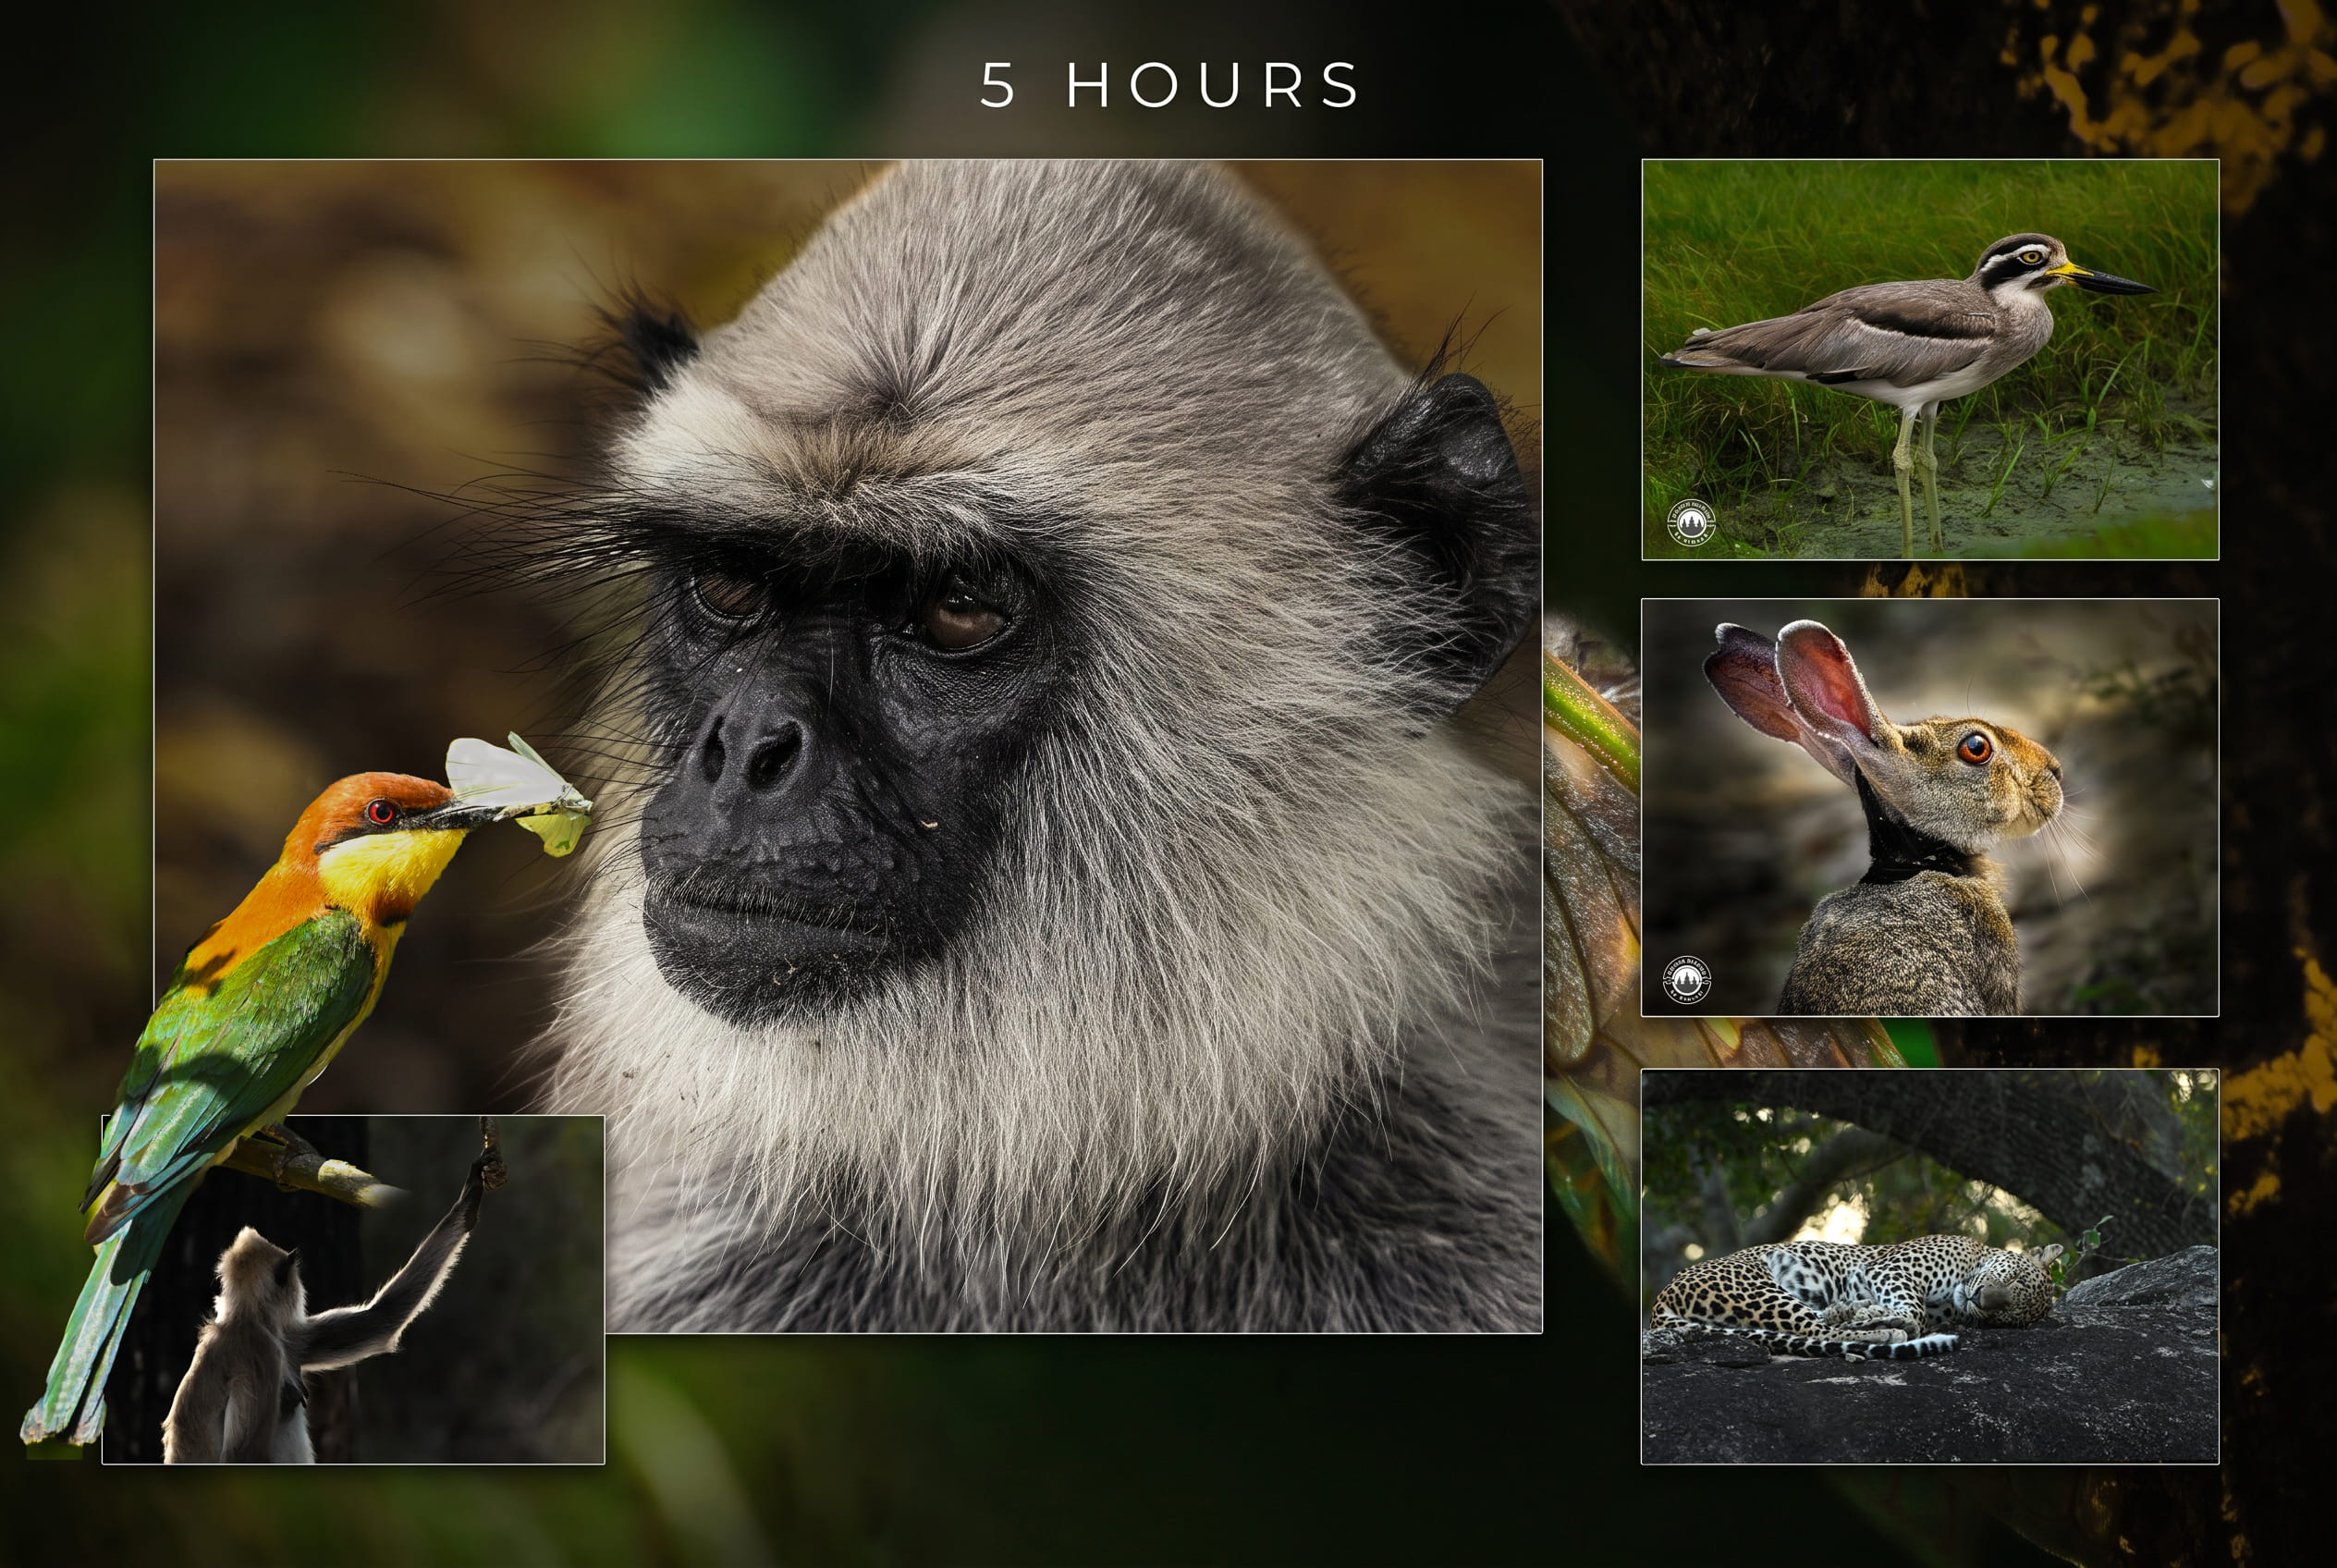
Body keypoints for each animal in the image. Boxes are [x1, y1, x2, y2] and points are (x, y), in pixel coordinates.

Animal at [1649, 1235, 2064, 1361]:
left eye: (2005, 1315)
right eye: (2011, 1277)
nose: (1982, 1299)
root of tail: (1659, 1302)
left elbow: (1917, 1315)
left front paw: (1876, 1311)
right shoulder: (1891, 1268)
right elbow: (1914, 1311)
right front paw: (1893, 1316)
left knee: (1821, 1324)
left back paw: (1866, 1314)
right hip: (1758, 1285)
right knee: (1816, 1330)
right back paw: (1882, 1326)